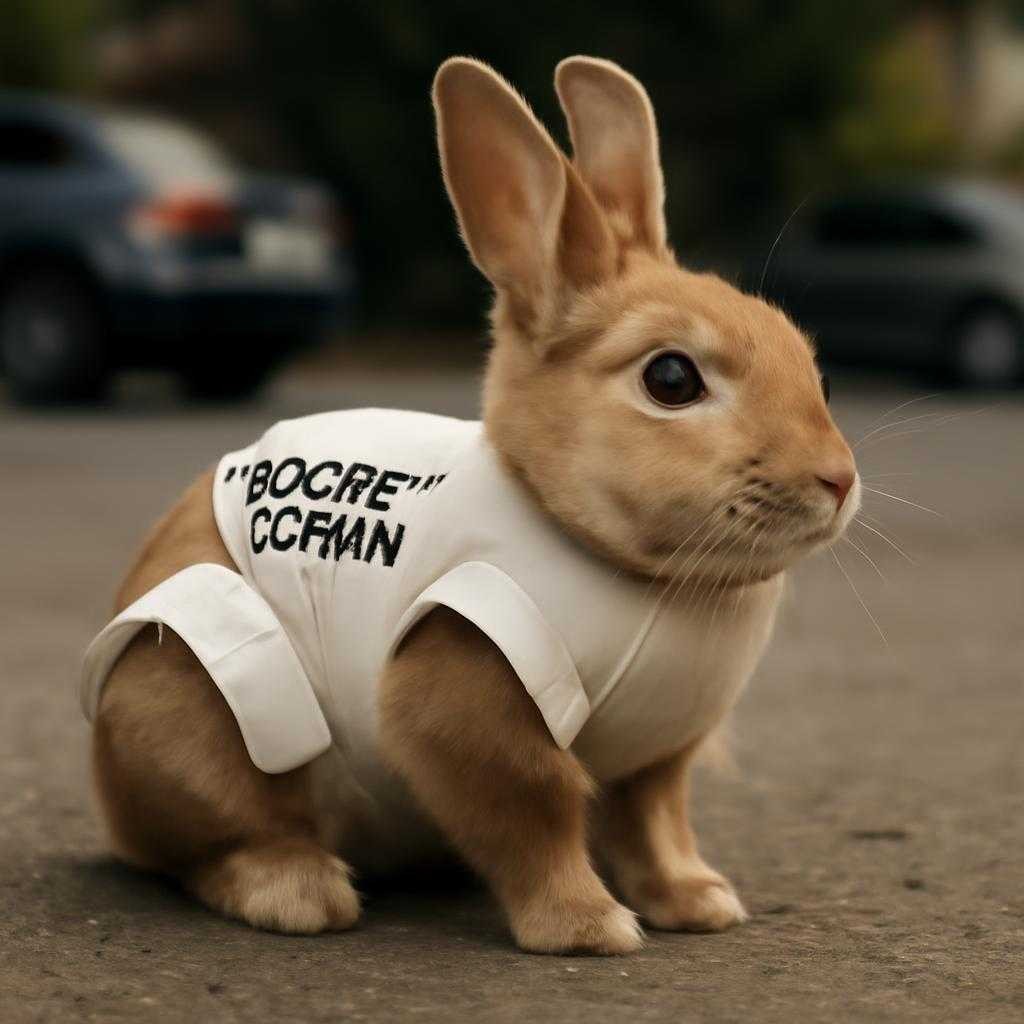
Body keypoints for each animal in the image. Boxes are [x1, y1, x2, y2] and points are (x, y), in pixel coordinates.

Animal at [85, 56, 859, 955]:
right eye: (671, 379)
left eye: (817, 372)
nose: (838, 479)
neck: (613, 559)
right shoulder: (469, 690)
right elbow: (535, 809)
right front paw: (589, 927)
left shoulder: (657, 756)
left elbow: (656, 823)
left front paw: (699, 902)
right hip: (202, 699)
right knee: (222, 834)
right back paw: (299, 891)